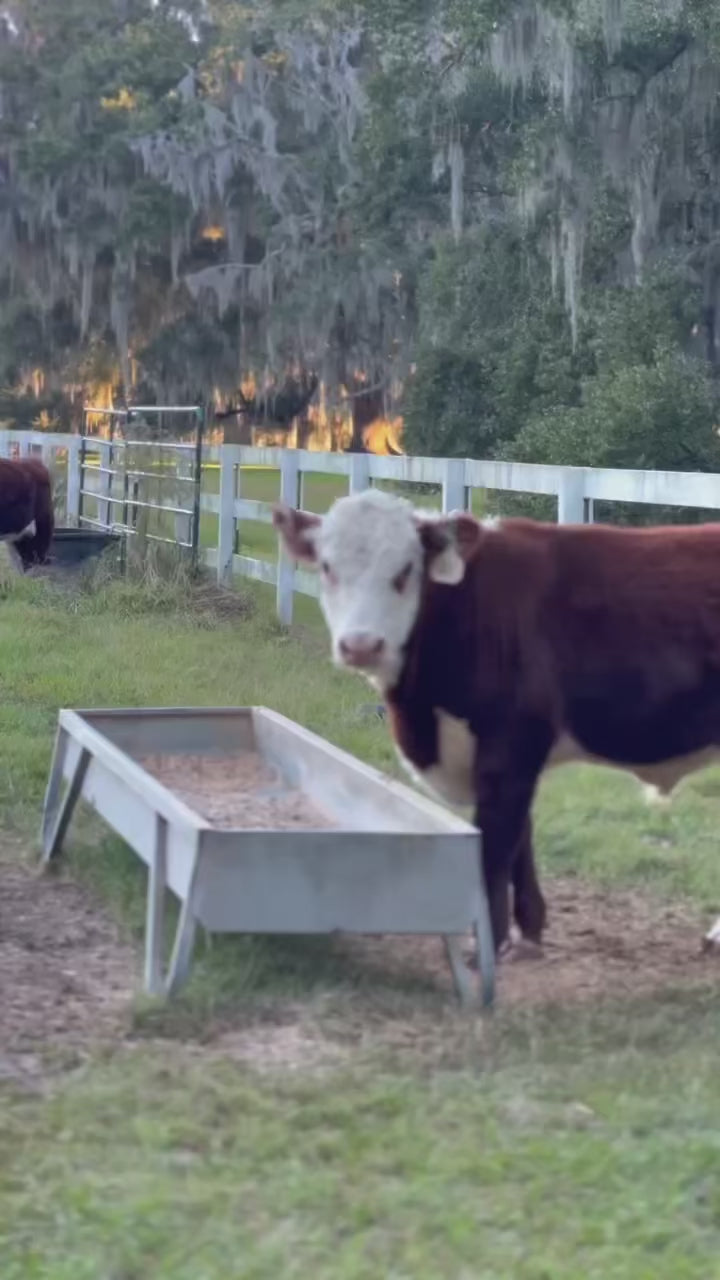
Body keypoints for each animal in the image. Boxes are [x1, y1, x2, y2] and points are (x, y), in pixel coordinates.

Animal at [273, 486, 720, 959]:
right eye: (327, 567)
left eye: (406, 570)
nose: (361, 645)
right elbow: (520, 836)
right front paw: (528, 931)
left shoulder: (512, 743)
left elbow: (494, 844)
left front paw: (486, 943)